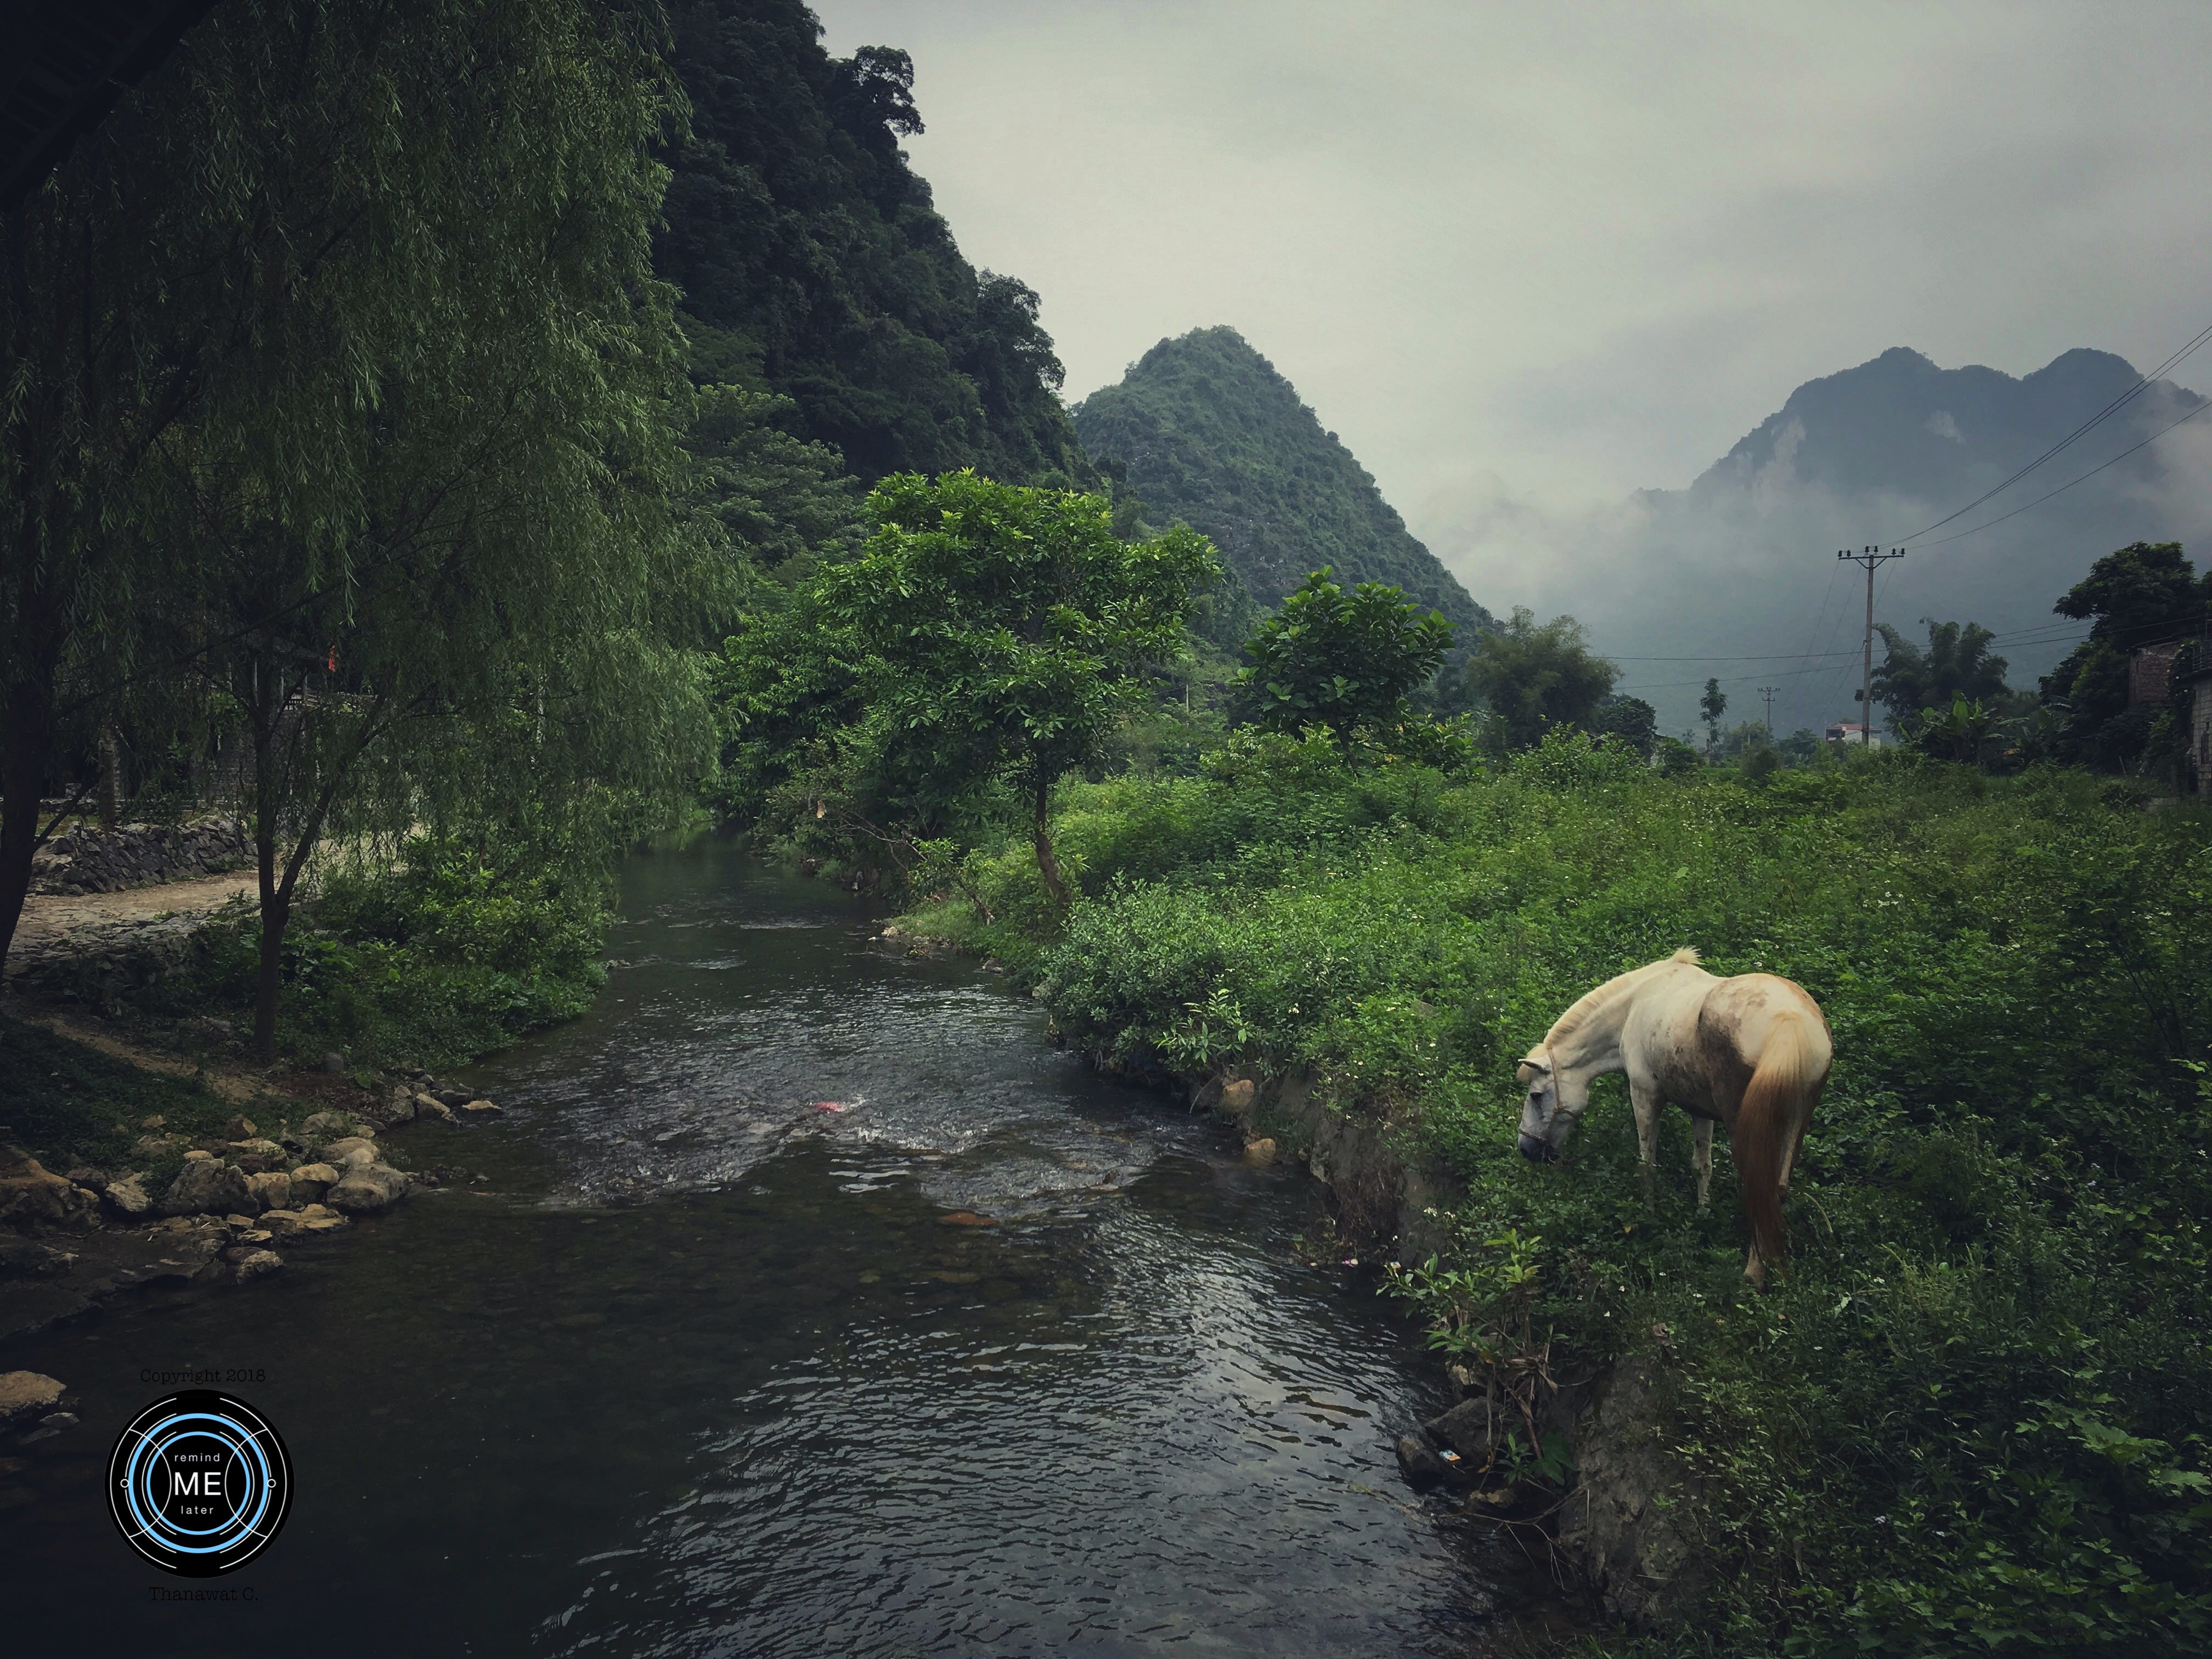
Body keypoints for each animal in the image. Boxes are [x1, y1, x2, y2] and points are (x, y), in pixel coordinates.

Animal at [1522, 946, 1831, 1283]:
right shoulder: (1701, 1111)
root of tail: (1790, 1022)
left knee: (1757, 1187)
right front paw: (1702, 1215)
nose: (1526, 1149)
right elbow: (1702, 1166)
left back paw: (1753, 1273)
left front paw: (1648, 1217)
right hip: (1794, 1125)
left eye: (1536, 1096)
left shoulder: (1644, 1095)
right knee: (1777, 1189)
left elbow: (1647, 1165)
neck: (1635, 1005)